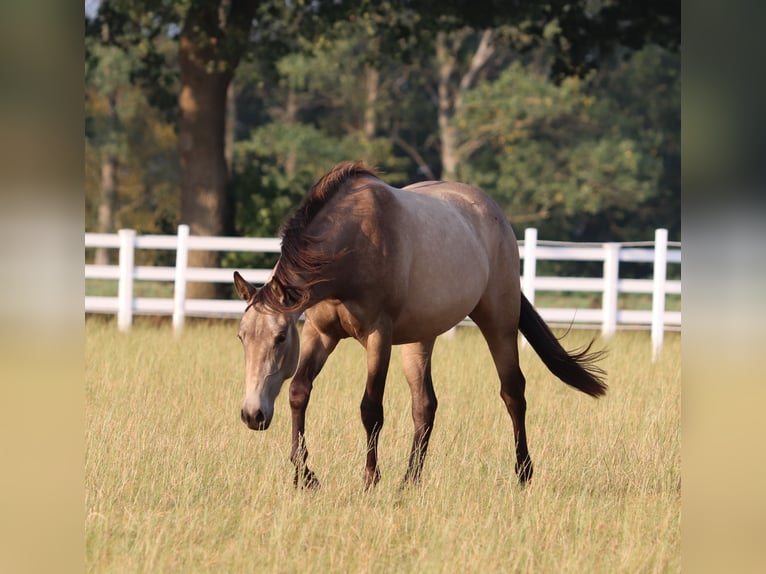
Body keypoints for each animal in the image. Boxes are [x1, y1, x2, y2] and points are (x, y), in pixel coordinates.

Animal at [233, 161, 606, 489]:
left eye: (281, 337)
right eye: (241, 337)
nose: (252, 415)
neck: (352, 248)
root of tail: (492, 211)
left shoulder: (378, 336)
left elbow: (371, 408)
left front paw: (370, 479)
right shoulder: (320, 333)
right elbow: (299, 392)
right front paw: (305, 477)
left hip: (498, 320)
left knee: (513, 392)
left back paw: (524, 473)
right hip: (419, 339)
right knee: (424, 405)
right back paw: (410, 481)